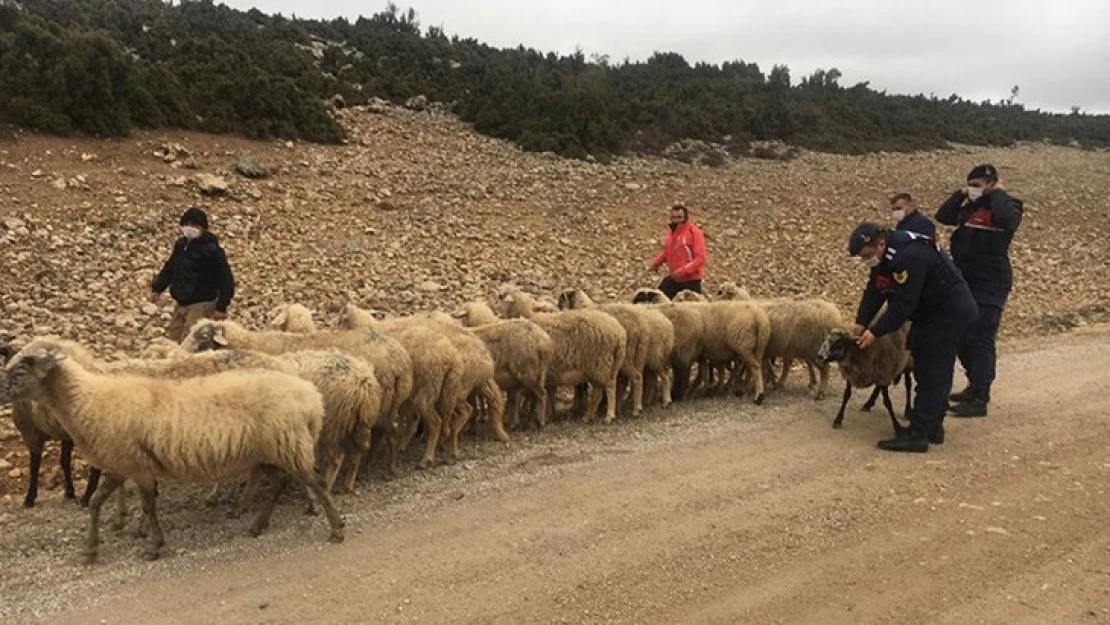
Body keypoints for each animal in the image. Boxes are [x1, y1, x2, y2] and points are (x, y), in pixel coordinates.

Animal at [4, 339, 344, 563]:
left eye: (19, 372)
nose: (1, 394)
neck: (88, 398)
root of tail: (312, 397)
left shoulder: (137, 467)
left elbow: (148, 507)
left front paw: (153, 545)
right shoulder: (121, 464)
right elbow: (97, 503)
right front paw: (91, 548)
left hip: (287, 444)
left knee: (315, 481)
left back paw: (336, 528)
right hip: (270, 450)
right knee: (278, 484)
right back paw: (257, 526)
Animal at [495, 284, 626, 426]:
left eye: (500, 296)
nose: (493, 307)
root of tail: (619, 333)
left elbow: (524, 394)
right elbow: (545, 393)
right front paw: (546, 414)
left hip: (600, 364)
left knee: (605, 389)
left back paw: (605, 416)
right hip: (604, 366)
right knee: (604, 388)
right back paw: (593, 415)